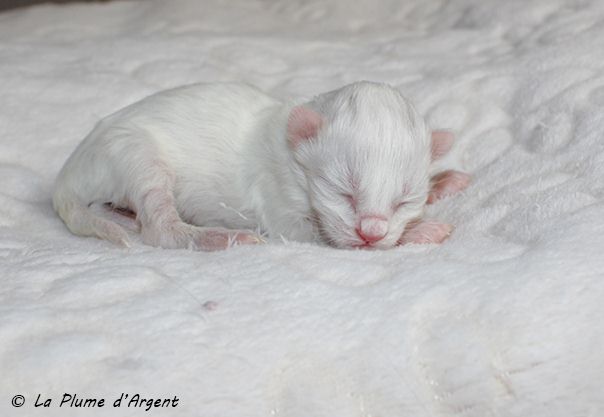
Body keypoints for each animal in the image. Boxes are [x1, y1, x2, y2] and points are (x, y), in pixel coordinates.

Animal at [53, 81, 470, 251]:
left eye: (404, 201)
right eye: (343, 192)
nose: (371, 233)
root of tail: (68, 174)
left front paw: (442, 181)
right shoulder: (278, 197)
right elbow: (320, 236)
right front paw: (423, 232)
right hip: (134, 154)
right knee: (157, 225)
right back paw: (220, 238)